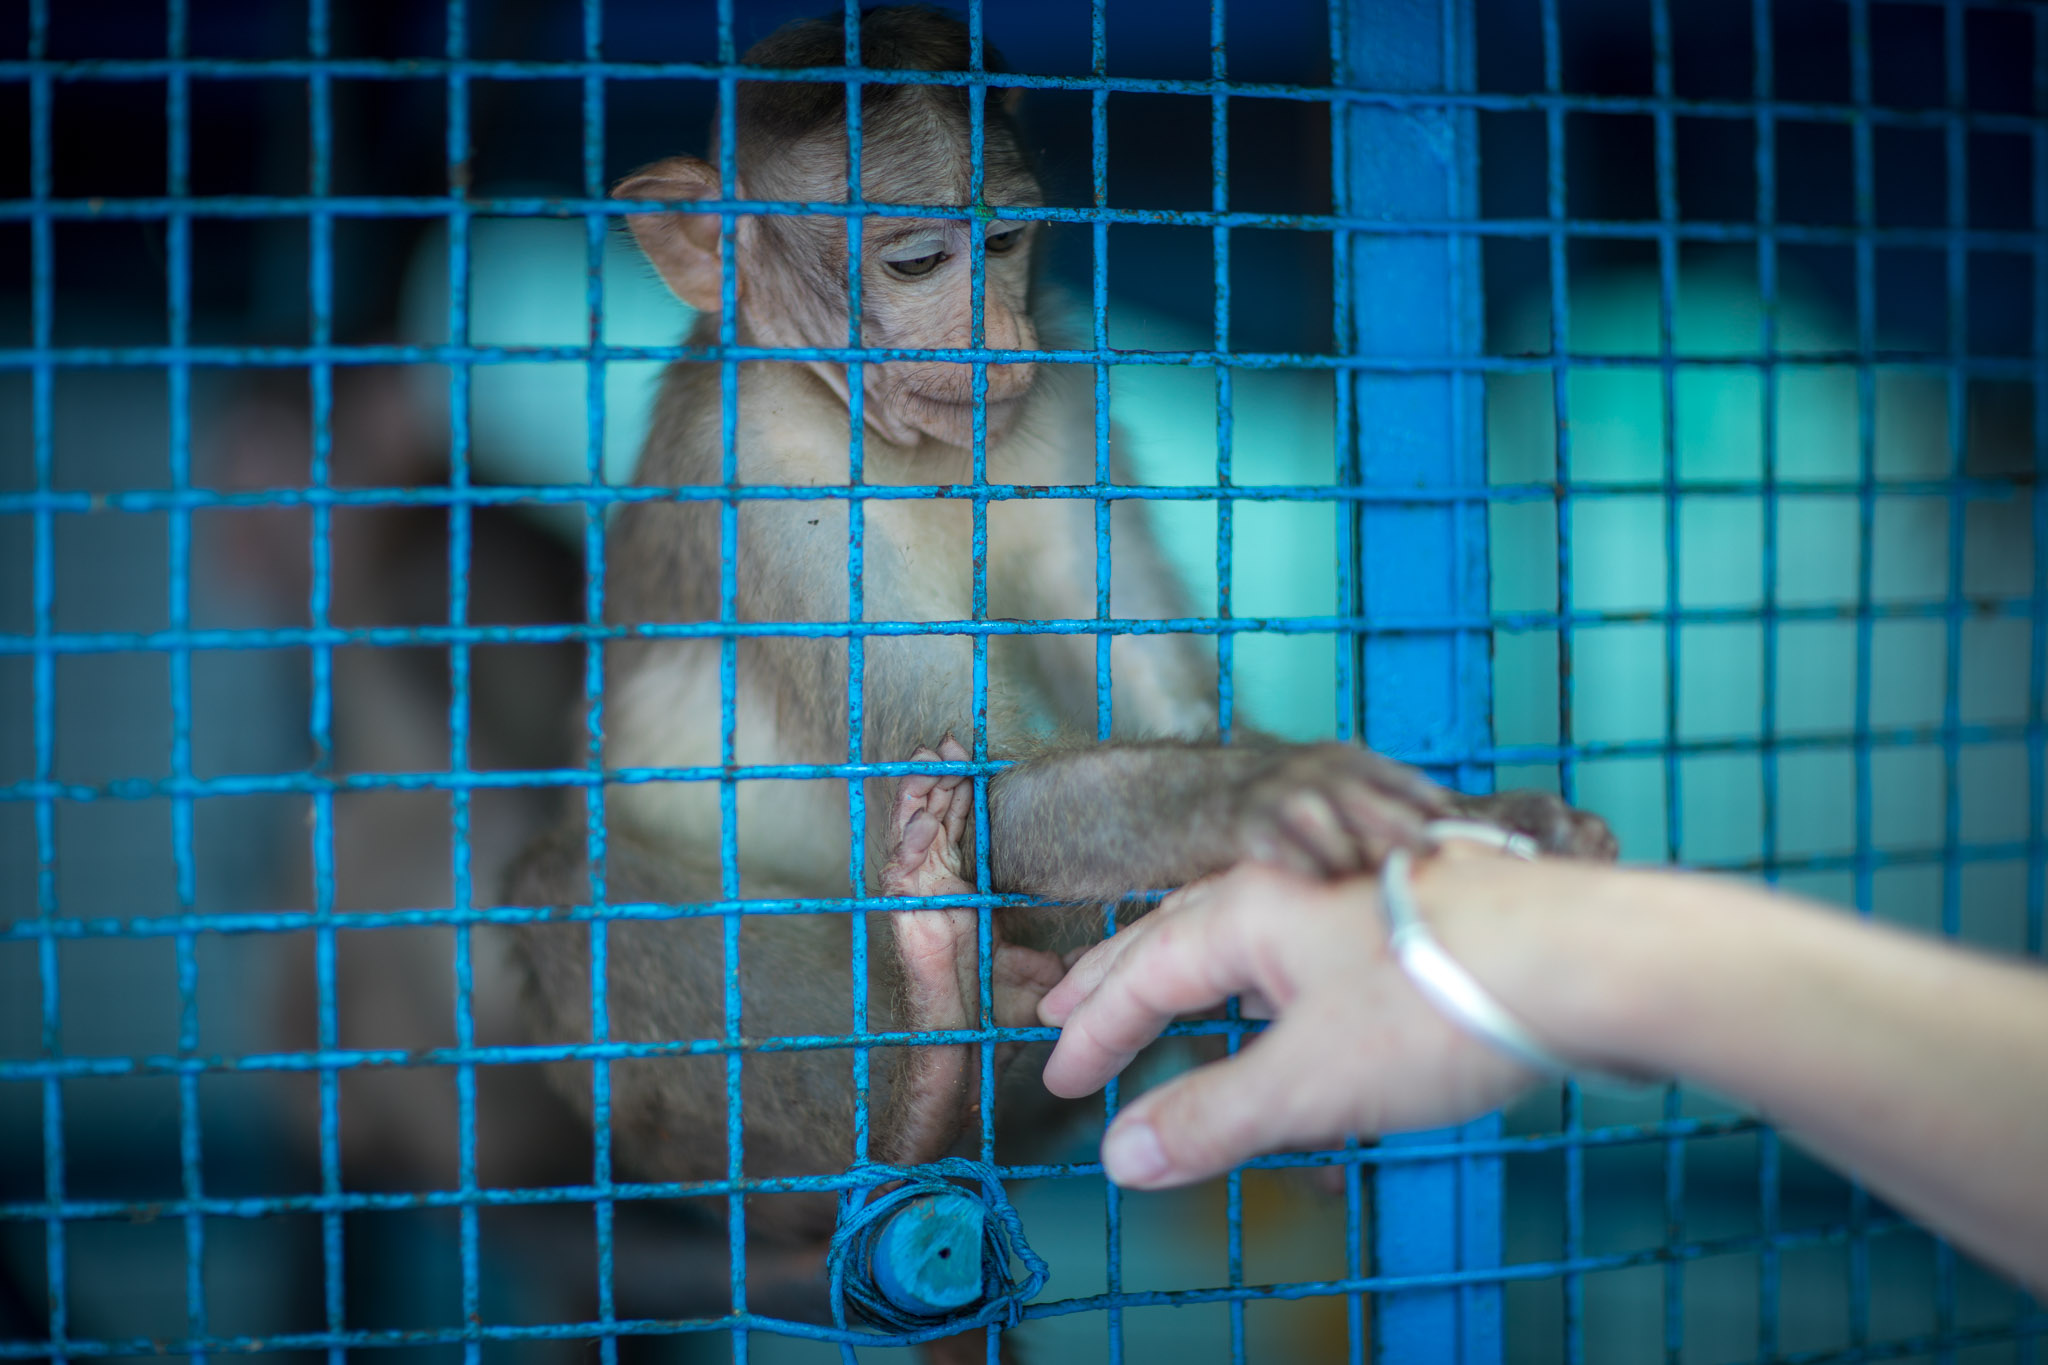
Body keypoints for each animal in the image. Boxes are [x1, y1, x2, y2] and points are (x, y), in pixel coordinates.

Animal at [504, 3, 1615, 1343]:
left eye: (1004, 243)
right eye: (915, 266)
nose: (995, 338)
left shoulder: (1056, 401)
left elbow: (1158, 697)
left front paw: (1488, 822)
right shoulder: (763, 464)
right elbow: (970, 780)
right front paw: (1265, 802)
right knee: (561, 892)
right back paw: (924, 1089)